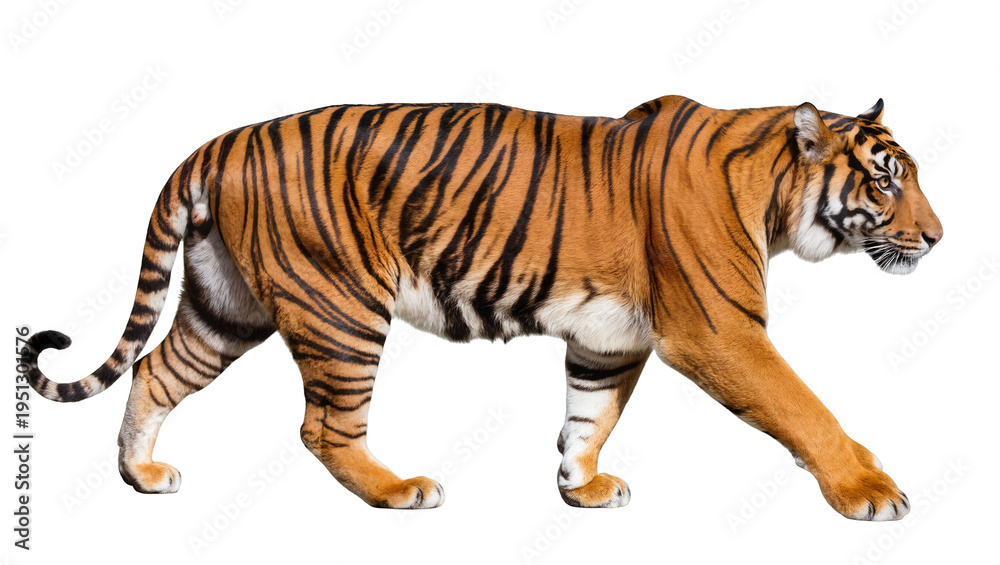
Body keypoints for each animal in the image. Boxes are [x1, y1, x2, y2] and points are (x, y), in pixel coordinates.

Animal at [25, 95, 942, 520]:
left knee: (154, 371)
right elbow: (805, 407)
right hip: (340, 308)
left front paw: (581, 485)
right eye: (885, 179)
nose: (937, 237)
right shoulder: (720, 332)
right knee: (323, 426)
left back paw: (141, 475)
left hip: (227, 305)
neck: (776, 198)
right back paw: (398, 489)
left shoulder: (609, 342)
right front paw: (869, 488)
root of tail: (218, 142)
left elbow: (587, 415)